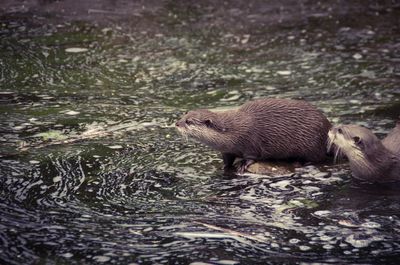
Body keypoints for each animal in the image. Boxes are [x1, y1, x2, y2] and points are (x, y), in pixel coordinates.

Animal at [176, 98, 332, 172]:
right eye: (184, 114)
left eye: (188, 122)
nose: (177, 123)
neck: (231, 133)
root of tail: (328, 127)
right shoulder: (226, 151)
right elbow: (227, 161)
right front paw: (224, 167)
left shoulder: (250, 141)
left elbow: (252, 156)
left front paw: (243, 165)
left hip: (312, 143)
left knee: (319, 158)